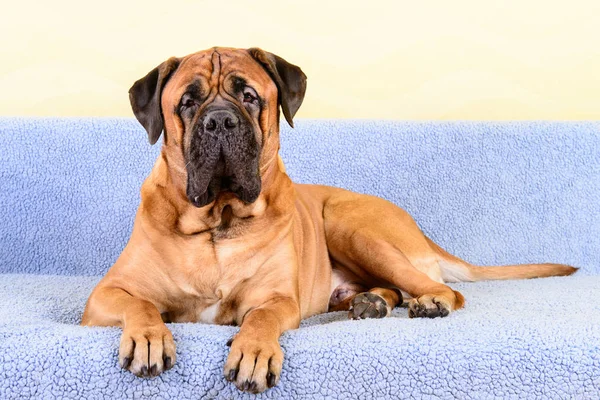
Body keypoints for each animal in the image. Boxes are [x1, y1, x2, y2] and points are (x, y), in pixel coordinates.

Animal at [81, 47, 576, 394]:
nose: (220, 121)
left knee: (441, 289)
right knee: (391, 288)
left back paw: (426, 302)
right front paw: (149, 336)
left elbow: (261, 318)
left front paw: (254, 350)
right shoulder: (105, 296)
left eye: (249, 97)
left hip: (348, 225)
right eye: (187, 102)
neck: (218, 223)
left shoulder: (278, 299)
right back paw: (373, 302)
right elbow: (141, 305)